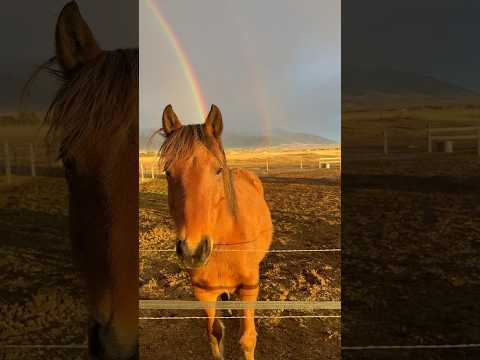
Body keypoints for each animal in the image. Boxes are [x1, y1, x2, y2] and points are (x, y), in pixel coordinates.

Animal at [160, 104, 274, 360]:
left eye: (218, 170)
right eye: (168, 172)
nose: (193, 251)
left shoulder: (250, 289)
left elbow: (247, 339)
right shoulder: (203, 293)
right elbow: (215, 334)